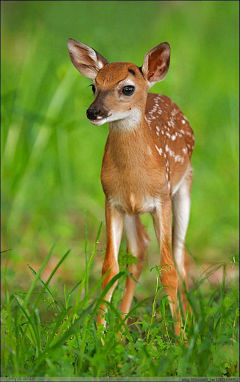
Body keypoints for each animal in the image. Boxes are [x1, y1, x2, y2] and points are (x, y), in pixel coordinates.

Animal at [66, 38, 194, 334]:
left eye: (127, 88)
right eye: (93, 86)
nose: (93, 112)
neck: (136, 178)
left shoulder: (161, 199)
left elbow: (168, 269)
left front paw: (181, 338)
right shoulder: (112, 200)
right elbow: (109, 268)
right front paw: (100, 336)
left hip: (184, 188)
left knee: (180, 255)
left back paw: (191, 323)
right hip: (132, 211)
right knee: (140, 250)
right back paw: (122, 331)